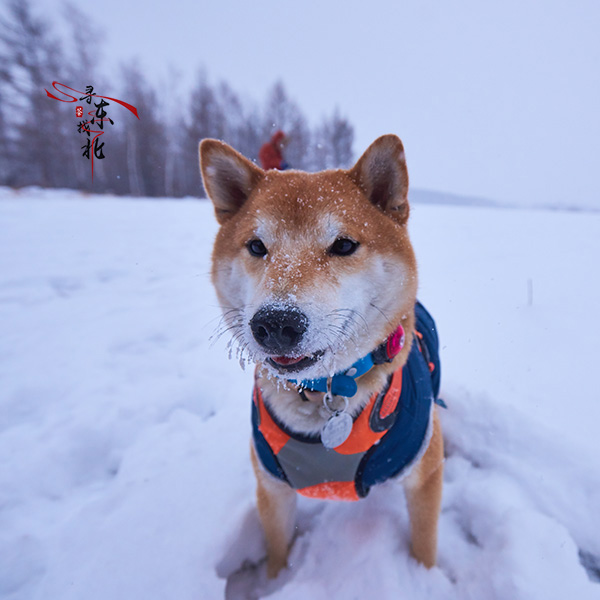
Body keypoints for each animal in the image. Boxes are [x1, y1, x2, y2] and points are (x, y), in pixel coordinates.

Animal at [199, 135, 442, 576]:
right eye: (256, 246)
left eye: (343, 244)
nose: (276, 323)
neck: (321, 392)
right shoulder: (272, 487)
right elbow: (277, 551)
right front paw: (276, 579)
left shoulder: (425, 474)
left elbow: (425, 548)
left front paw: (426, 579)